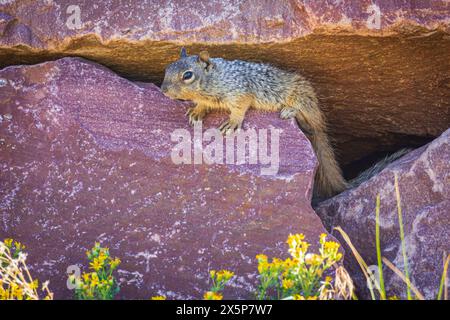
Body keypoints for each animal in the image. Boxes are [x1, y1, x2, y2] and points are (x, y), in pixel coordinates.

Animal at [163, 48, 408, 200]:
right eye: (166, 69)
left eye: (187, 75)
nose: (164, 90)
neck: (214, 80)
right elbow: (202, 105)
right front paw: (196, 112)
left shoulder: (240, 93)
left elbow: (239, 109)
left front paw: (231, 122)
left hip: (301, 98)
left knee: (310, 122)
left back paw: (291, 112)